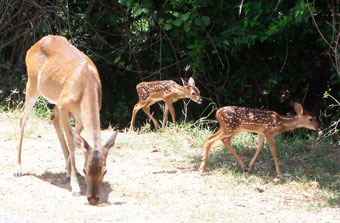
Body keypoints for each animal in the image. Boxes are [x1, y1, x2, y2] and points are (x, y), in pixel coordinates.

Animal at [14, 35, 118, 206]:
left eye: (105, 170)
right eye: (85, 169)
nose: (93, 199)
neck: (86, 85)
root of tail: (33, 46)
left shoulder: (78, 113)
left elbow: (75, 140)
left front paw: (69, 171)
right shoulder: (64, 106)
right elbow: (71, 142)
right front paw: (75, 187)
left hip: (55, 99)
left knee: (53, 117)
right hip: (33, 84)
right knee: (23, 117)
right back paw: (17, 170)